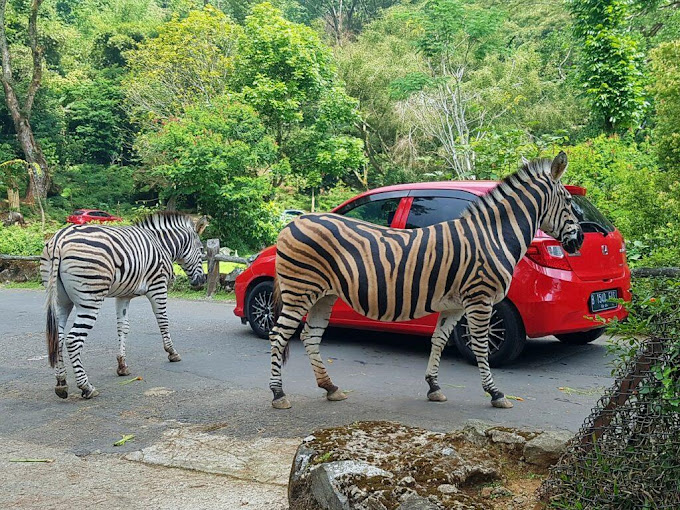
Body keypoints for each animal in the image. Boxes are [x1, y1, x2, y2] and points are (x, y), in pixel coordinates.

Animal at [41, 211, 206, 398]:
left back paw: (61, 383)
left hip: (61, 301)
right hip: (90, 299)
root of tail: (59, 239)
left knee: (59, 337)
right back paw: (86, 387)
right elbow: (163, 321)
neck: (161, 244)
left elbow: (123, 327)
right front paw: (172, 352)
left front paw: (122, 366)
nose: (201, 281)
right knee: (73, 340)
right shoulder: (158, 286)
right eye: (201, 250)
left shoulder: (123, 295)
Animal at [270, 152, 584, 410]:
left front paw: (434, 386)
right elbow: (481, 346)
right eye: (570, 203)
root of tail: (293, 222)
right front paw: (495, 393)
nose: (580, 240)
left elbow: (439, 340)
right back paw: (278, 394)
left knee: (309, 336)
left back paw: (330, 388)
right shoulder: (480, 299)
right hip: (300, 291)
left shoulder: (455, 304)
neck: (493, 237)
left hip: (324, 295)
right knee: (278, 334)